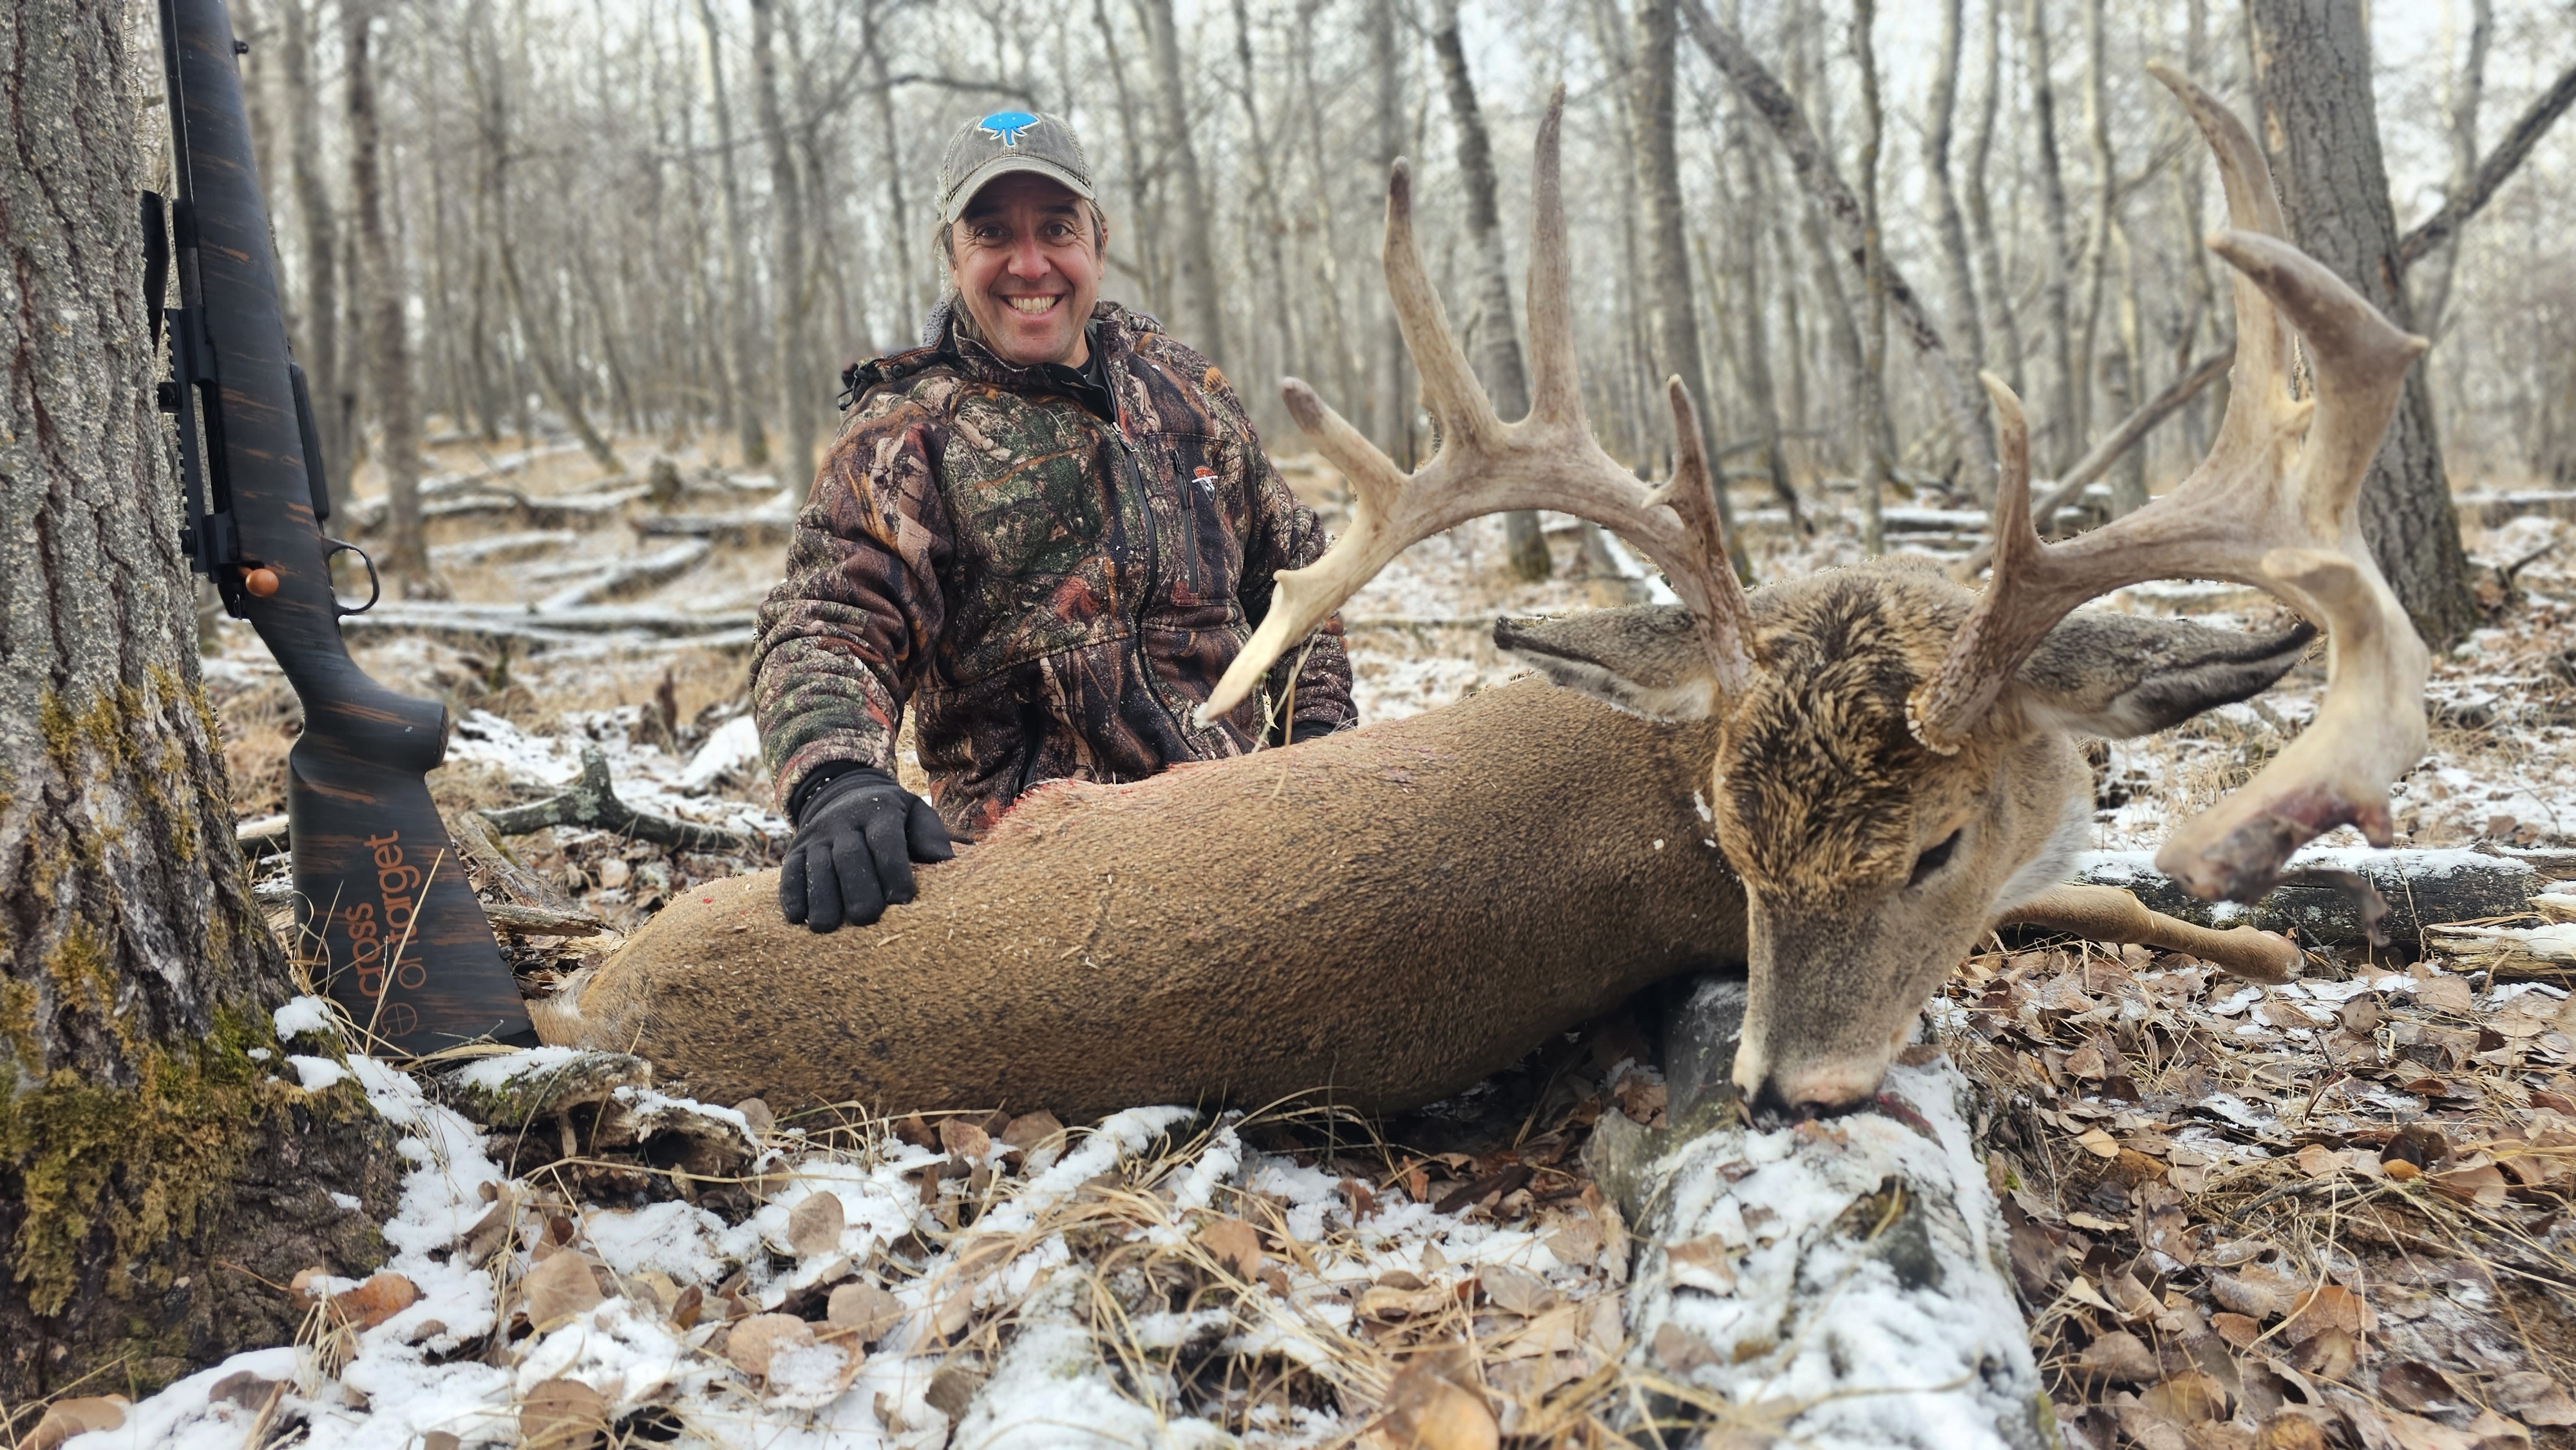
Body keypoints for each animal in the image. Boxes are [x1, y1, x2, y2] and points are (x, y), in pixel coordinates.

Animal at [533, 68, 2426, 1126]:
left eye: (1930, 840)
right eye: (1743, 851)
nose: (1790, 1090)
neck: (1655, 781)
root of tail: (584, 1004)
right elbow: (2098, 897)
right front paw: (2259, 926)